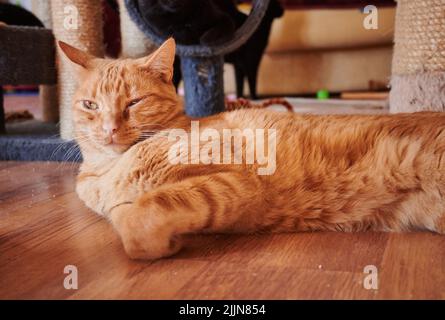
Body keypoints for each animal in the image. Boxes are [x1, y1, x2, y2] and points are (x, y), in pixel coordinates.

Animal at [59, 39, 444, 260]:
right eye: (91, 105)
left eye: (134, 102)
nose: (109, 129)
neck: (111, 169)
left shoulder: (234, 181)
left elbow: (139, 219)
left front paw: (160, 242)